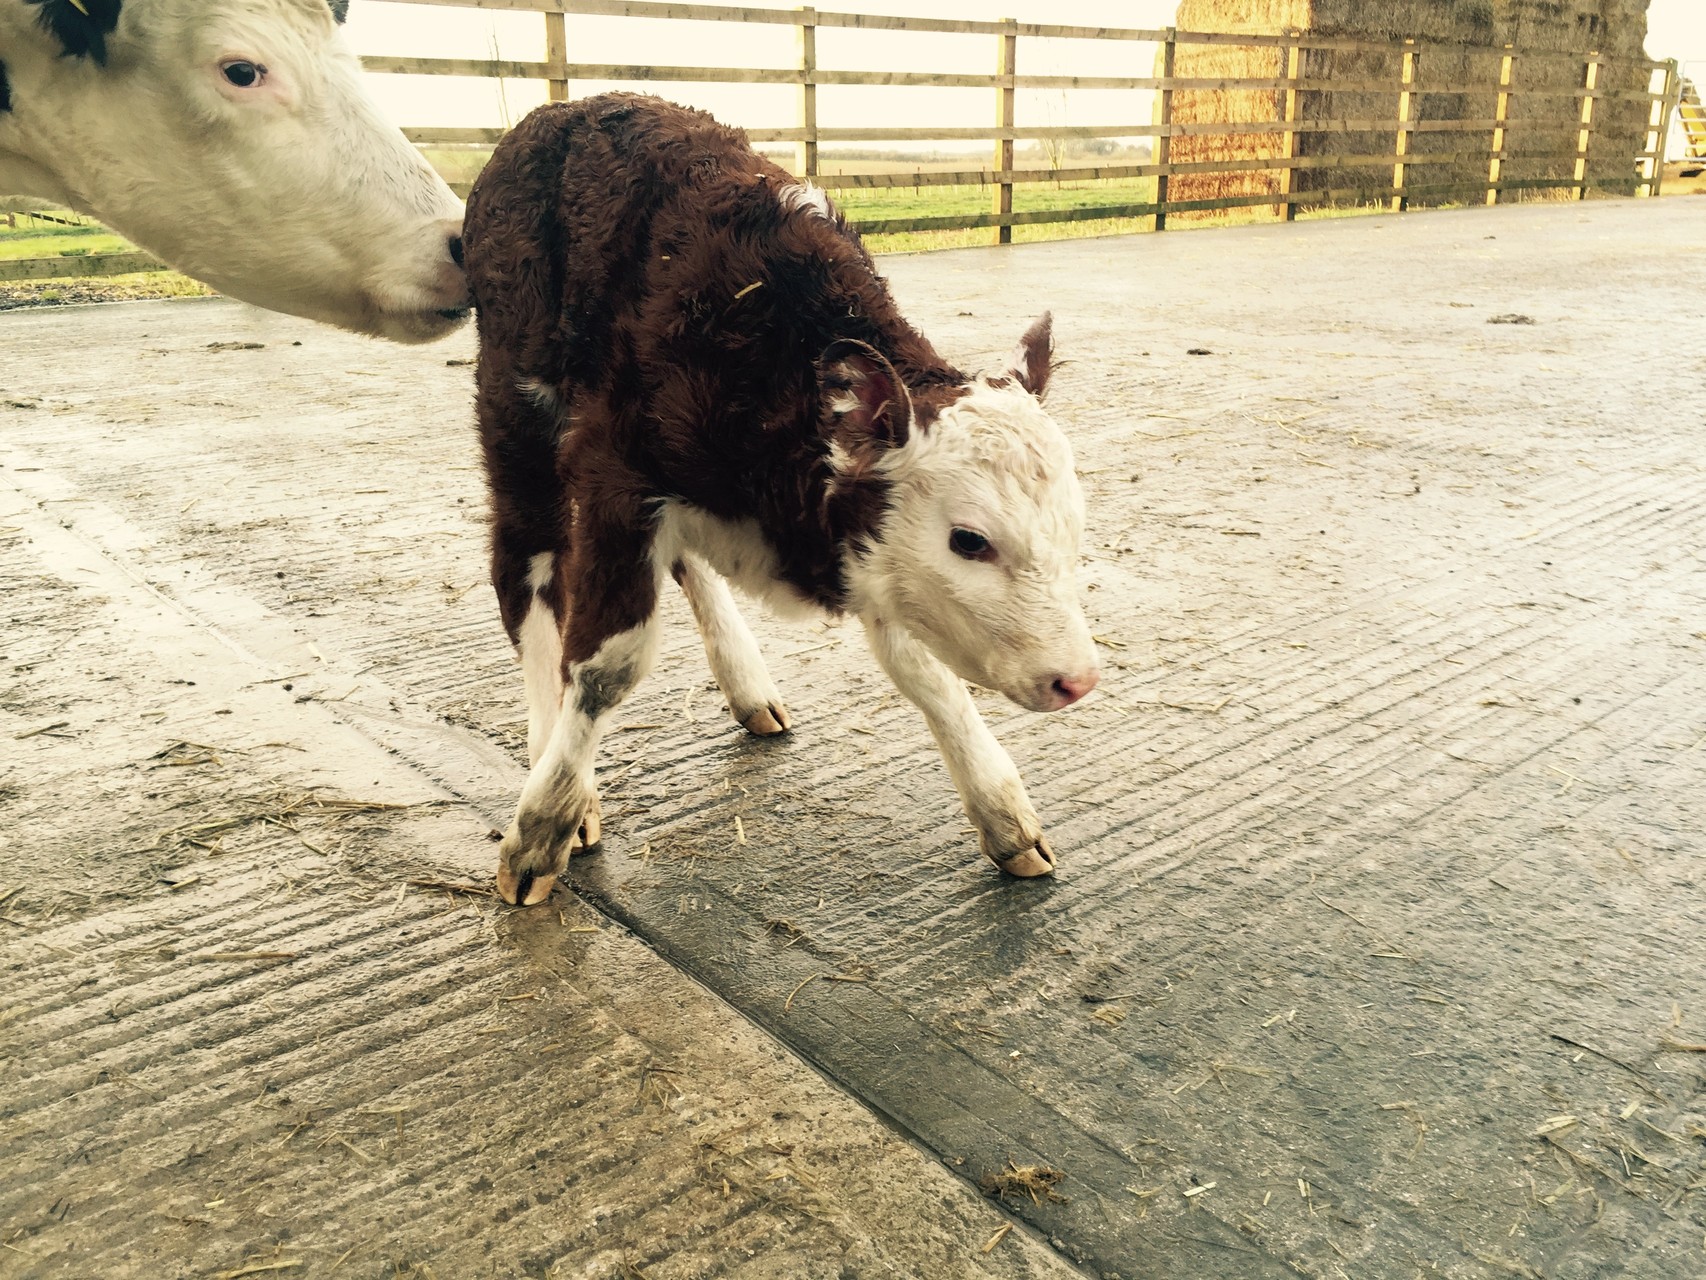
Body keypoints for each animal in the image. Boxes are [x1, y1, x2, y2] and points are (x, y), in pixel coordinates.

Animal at [460, 95, 1098, 907]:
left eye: (1074, 532)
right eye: (969, 540)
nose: (1076, 680)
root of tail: (561, 111)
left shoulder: (853, 546)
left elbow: (920, 666)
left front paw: (1003, 812)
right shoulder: (617, 474)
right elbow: (607, 667)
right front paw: (543, 826)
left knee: (685, 564)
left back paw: (746, 685)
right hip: (517, 415)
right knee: (528, 572)